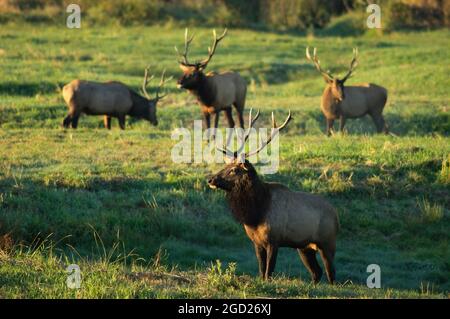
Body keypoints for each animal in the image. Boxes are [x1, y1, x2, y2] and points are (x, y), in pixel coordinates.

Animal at [209, 110, 340, 284]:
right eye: (225, 166)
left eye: (234, 170)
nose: (210, 180)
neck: (256, 213)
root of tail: (337, 216)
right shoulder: (257, 243)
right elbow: (261, 271)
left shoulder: (274, 240)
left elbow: (268, 272)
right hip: (305, 247)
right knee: (316, 272)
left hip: (328, 243)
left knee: (331, 274)